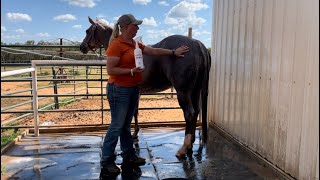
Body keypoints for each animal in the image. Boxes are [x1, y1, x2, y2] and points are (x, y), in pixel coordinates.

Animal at [80, 16, 211, 158]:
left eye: (87, 31)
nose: (82, 47)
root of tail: (197, 44)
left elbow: (133, 113)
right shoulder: (136, 92)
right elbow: (135, 111)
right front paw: (135, 132)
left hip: (183, 92)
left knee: (189, 113)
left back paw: (183, 148)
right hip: (195, 90)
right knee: (196, 111)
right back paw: (190, 144)